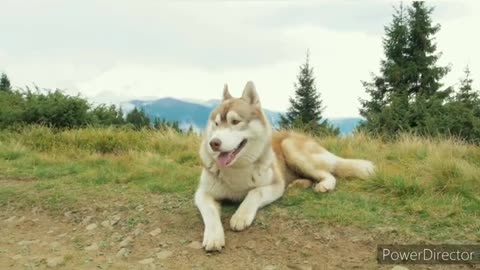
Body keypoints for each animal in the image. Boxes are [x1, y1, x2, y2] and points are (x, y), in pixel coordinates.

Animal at [195, 80, 376, 251]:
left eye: (235, 121)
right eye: (216, 124)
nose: (214, 143)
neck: (237, 169)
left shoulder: (276, 185)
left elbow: (255, 192)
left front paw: (241, 215)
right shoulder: (202, 193)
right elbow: (210, 211)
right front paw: (213, 236)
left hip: (290, 148)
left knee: (328, 174)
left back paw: (324, 185)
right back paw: (299, 183)